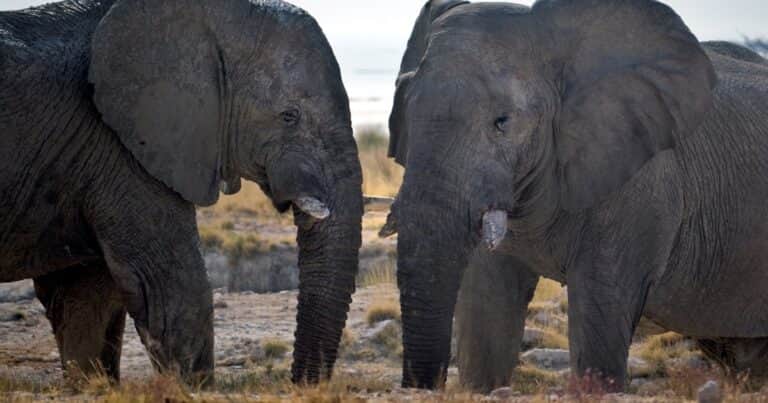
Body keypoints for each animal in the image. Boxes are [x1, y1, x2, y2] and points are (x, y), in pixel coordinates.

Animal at [386, 0, 768, 391]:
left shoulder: (641, 185)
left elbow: (599, 316)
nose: (420, 386)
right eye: (404, 109)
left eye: (502, 121)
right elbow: (486, 307)